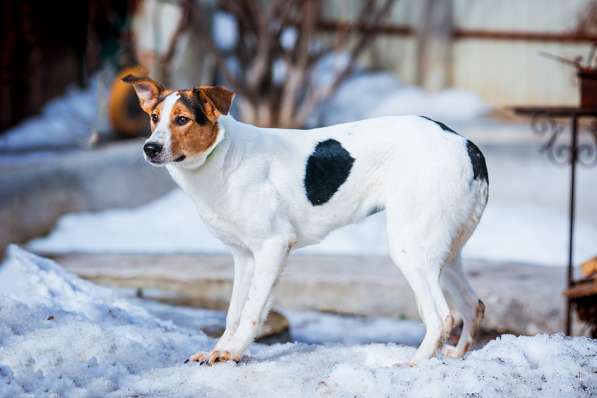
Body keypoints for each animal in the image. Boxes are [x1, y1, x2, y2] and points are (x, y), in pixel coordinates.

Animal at [123, 74, 486, 366]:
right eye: (154, 118)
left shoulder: (273, 247)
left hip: (410, 247)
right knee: (473, 304)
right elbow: (234, 312)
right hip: (443, 251)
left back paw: (414, 364)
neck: (222, 156)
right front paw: (219, 350)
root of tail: (467, 144)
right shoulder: (244, 256)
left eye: (182, 119)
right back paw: (456, 354)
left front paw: (232, 353)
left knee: (442, 316)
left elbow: (251, 312)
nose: (149, 148)